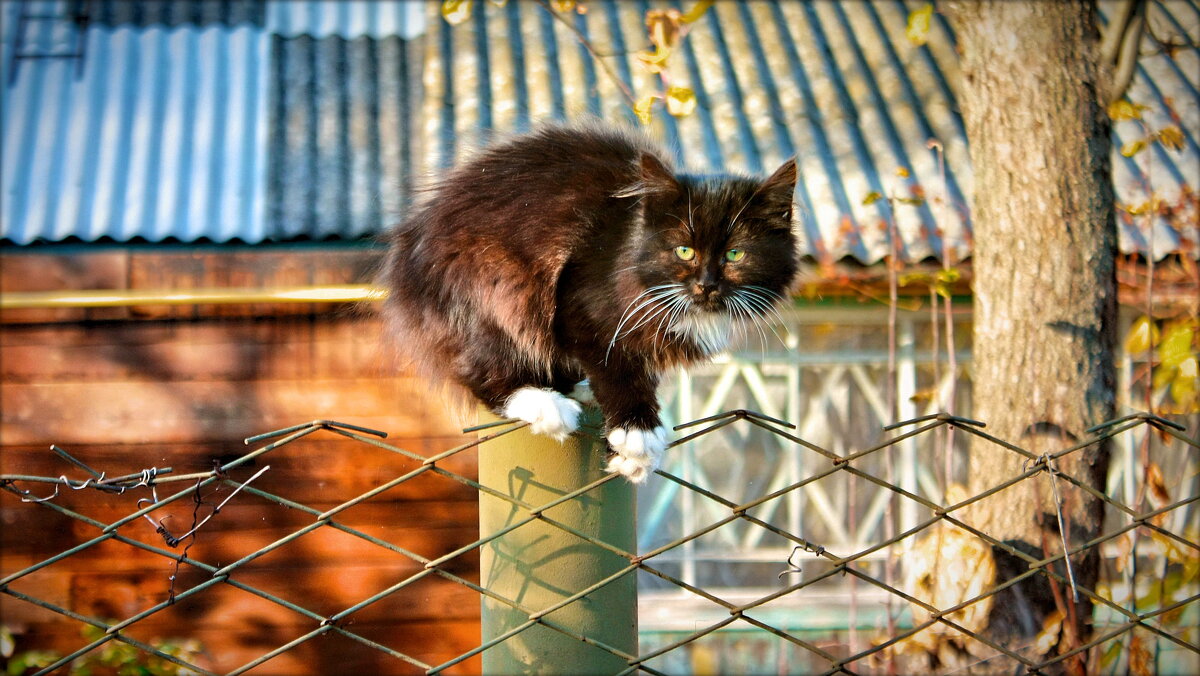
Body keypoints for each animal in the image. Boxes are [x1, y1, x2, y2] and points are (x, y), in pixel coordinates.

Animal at [384, 124, 796, 485]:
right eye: (684, 251)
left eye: (735, 254)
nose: (706, 285)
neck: (629, 242)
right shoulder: (581, 308)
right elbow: (616, 366)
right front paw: (637, 432)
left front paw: (629, 454)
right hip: (498, 288)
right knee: (479, 369)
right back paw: (544, 403)